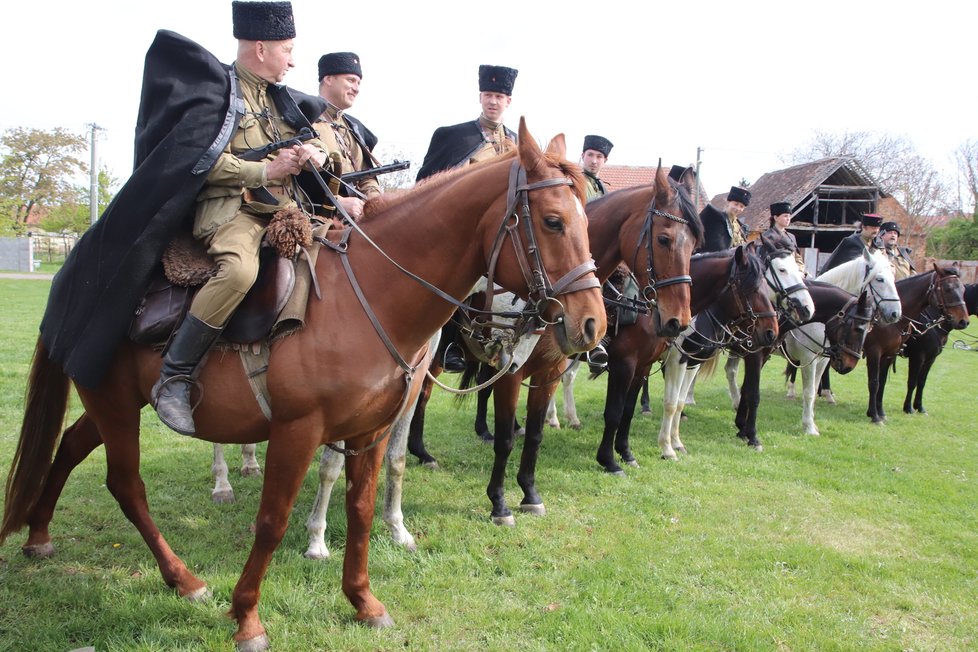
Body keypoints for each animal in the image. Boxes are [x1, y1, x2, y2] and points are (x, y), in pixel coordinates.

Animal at [0, 121, 608, 652]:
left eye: (586, 221)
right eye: (553, 221)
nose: (592, 325)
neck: (367, 294)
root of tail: (75, 272)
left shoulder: (368, 432)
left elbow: (360, 510)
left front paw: (363, 602)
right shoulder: (296, 432)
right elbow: (272, 521)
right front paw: (247, 618)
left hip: (116, 404)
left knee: (69, 447)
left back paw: (39, 536)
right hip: (116, 407)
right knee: (127, 486)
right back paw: (184, 579)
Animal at [860, 264, 968, 422]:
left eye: (963, 289)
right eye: (947, 289)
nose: (963, 321)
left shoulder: (917, 357)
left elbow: (913, 382)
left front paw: (881, 412)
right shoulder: (910, 356)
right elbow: (880, 383)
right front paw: (879, 414)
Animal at [900, 282, 976, 416]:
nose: (964, 322)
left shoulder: (931, 359)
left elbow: (921, 382)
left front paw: (919, 407)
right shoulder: (917, 357)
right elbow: (912, 382)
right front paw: (908, 408)